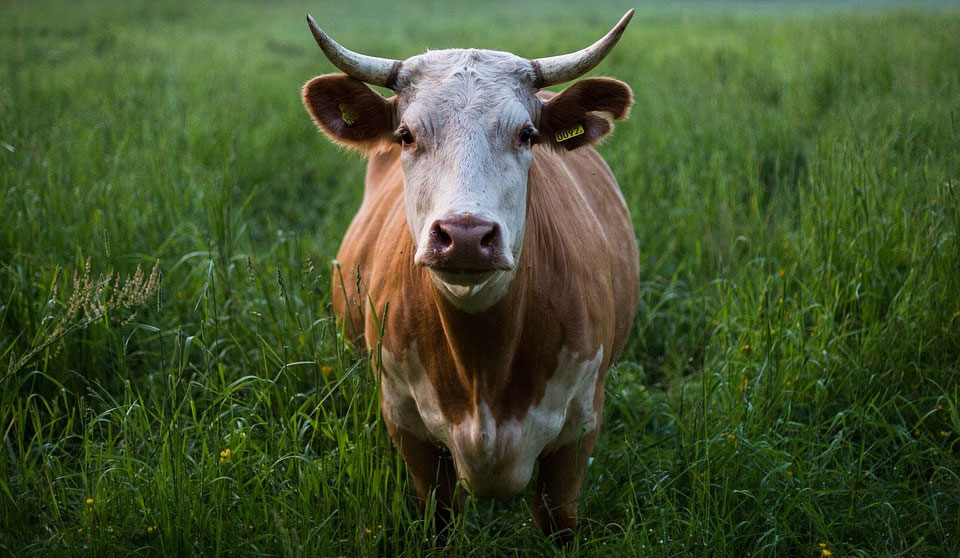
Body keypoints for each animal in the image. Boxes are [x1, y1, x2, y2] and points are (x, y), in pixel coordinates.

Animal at [304, 9, 640, 544]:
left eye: (527, 134)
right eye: (406, 135)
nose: (464, 235)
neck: (483, 366)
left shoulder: (579, 431)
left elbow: (559, 522)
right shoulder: (407, 426)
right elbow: (439, 515)